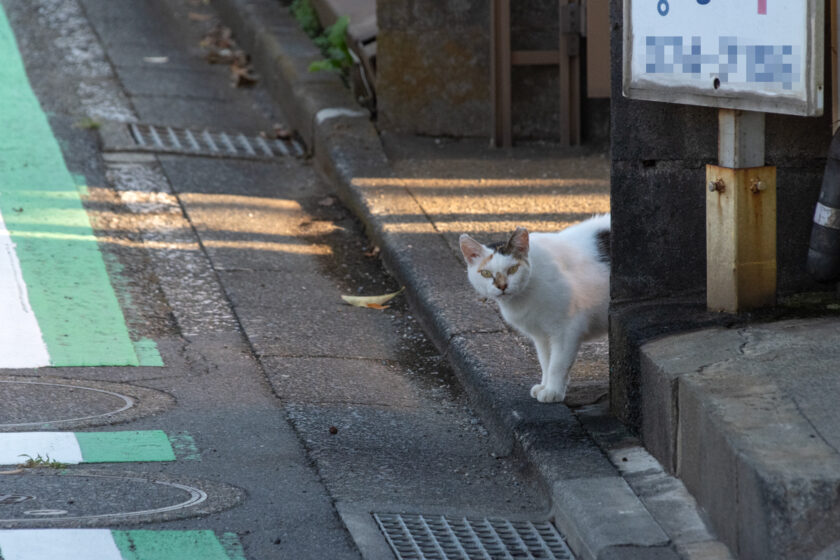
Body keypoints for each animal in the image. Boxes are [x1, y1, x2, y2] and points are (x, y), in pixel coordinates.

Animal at [460, 214, 612, 402]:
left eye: (513, 269)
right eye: (486, 273)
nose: (502, 286)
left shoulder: (566, 331)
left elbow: (557, 364)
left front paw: (552, 391)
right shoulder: (541, 336)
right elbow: (546, 362)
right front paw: (544, 386)